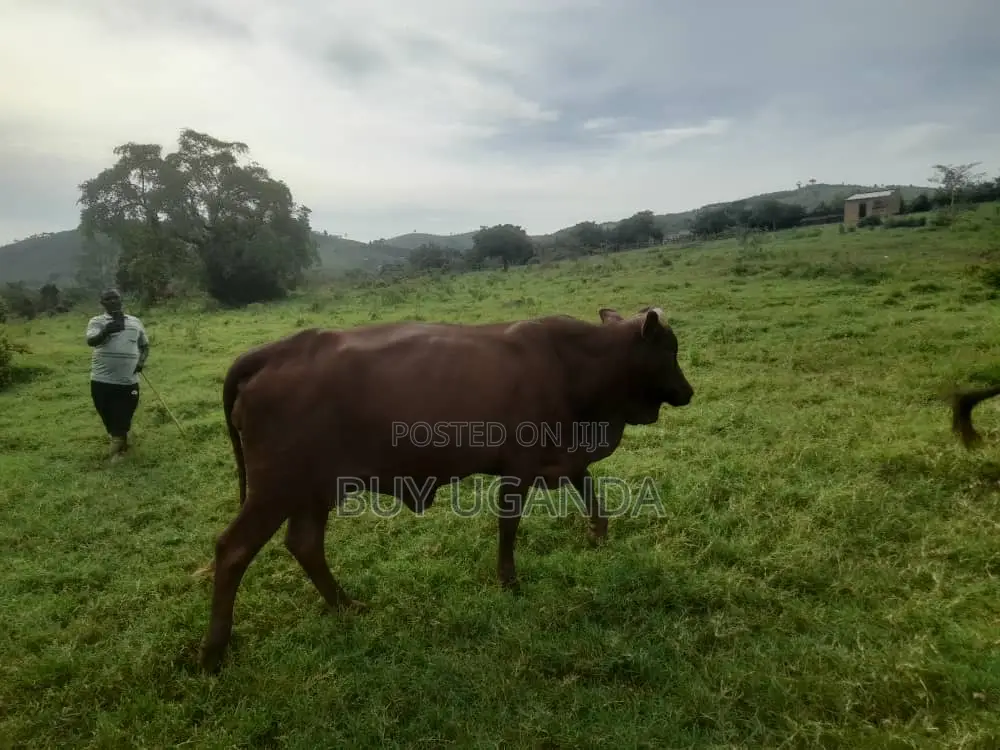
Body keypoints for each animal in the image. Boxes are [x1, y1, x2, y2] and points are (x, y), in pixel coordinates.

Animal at [198, 305, 694, 673]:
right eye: (670, 349)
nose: (688, 392)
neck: (576, 366)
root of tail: (275, 351)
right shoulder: (520, 466)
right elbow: (509, 525)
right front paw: (508, 579)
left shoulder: (565, 457)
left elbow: (591, 495)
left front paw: (599, 537)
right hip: (274, 488)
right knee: (233, 550)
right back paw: (213, 653)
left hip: (315, 488)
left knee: (305, 544)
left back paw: (345, 605)